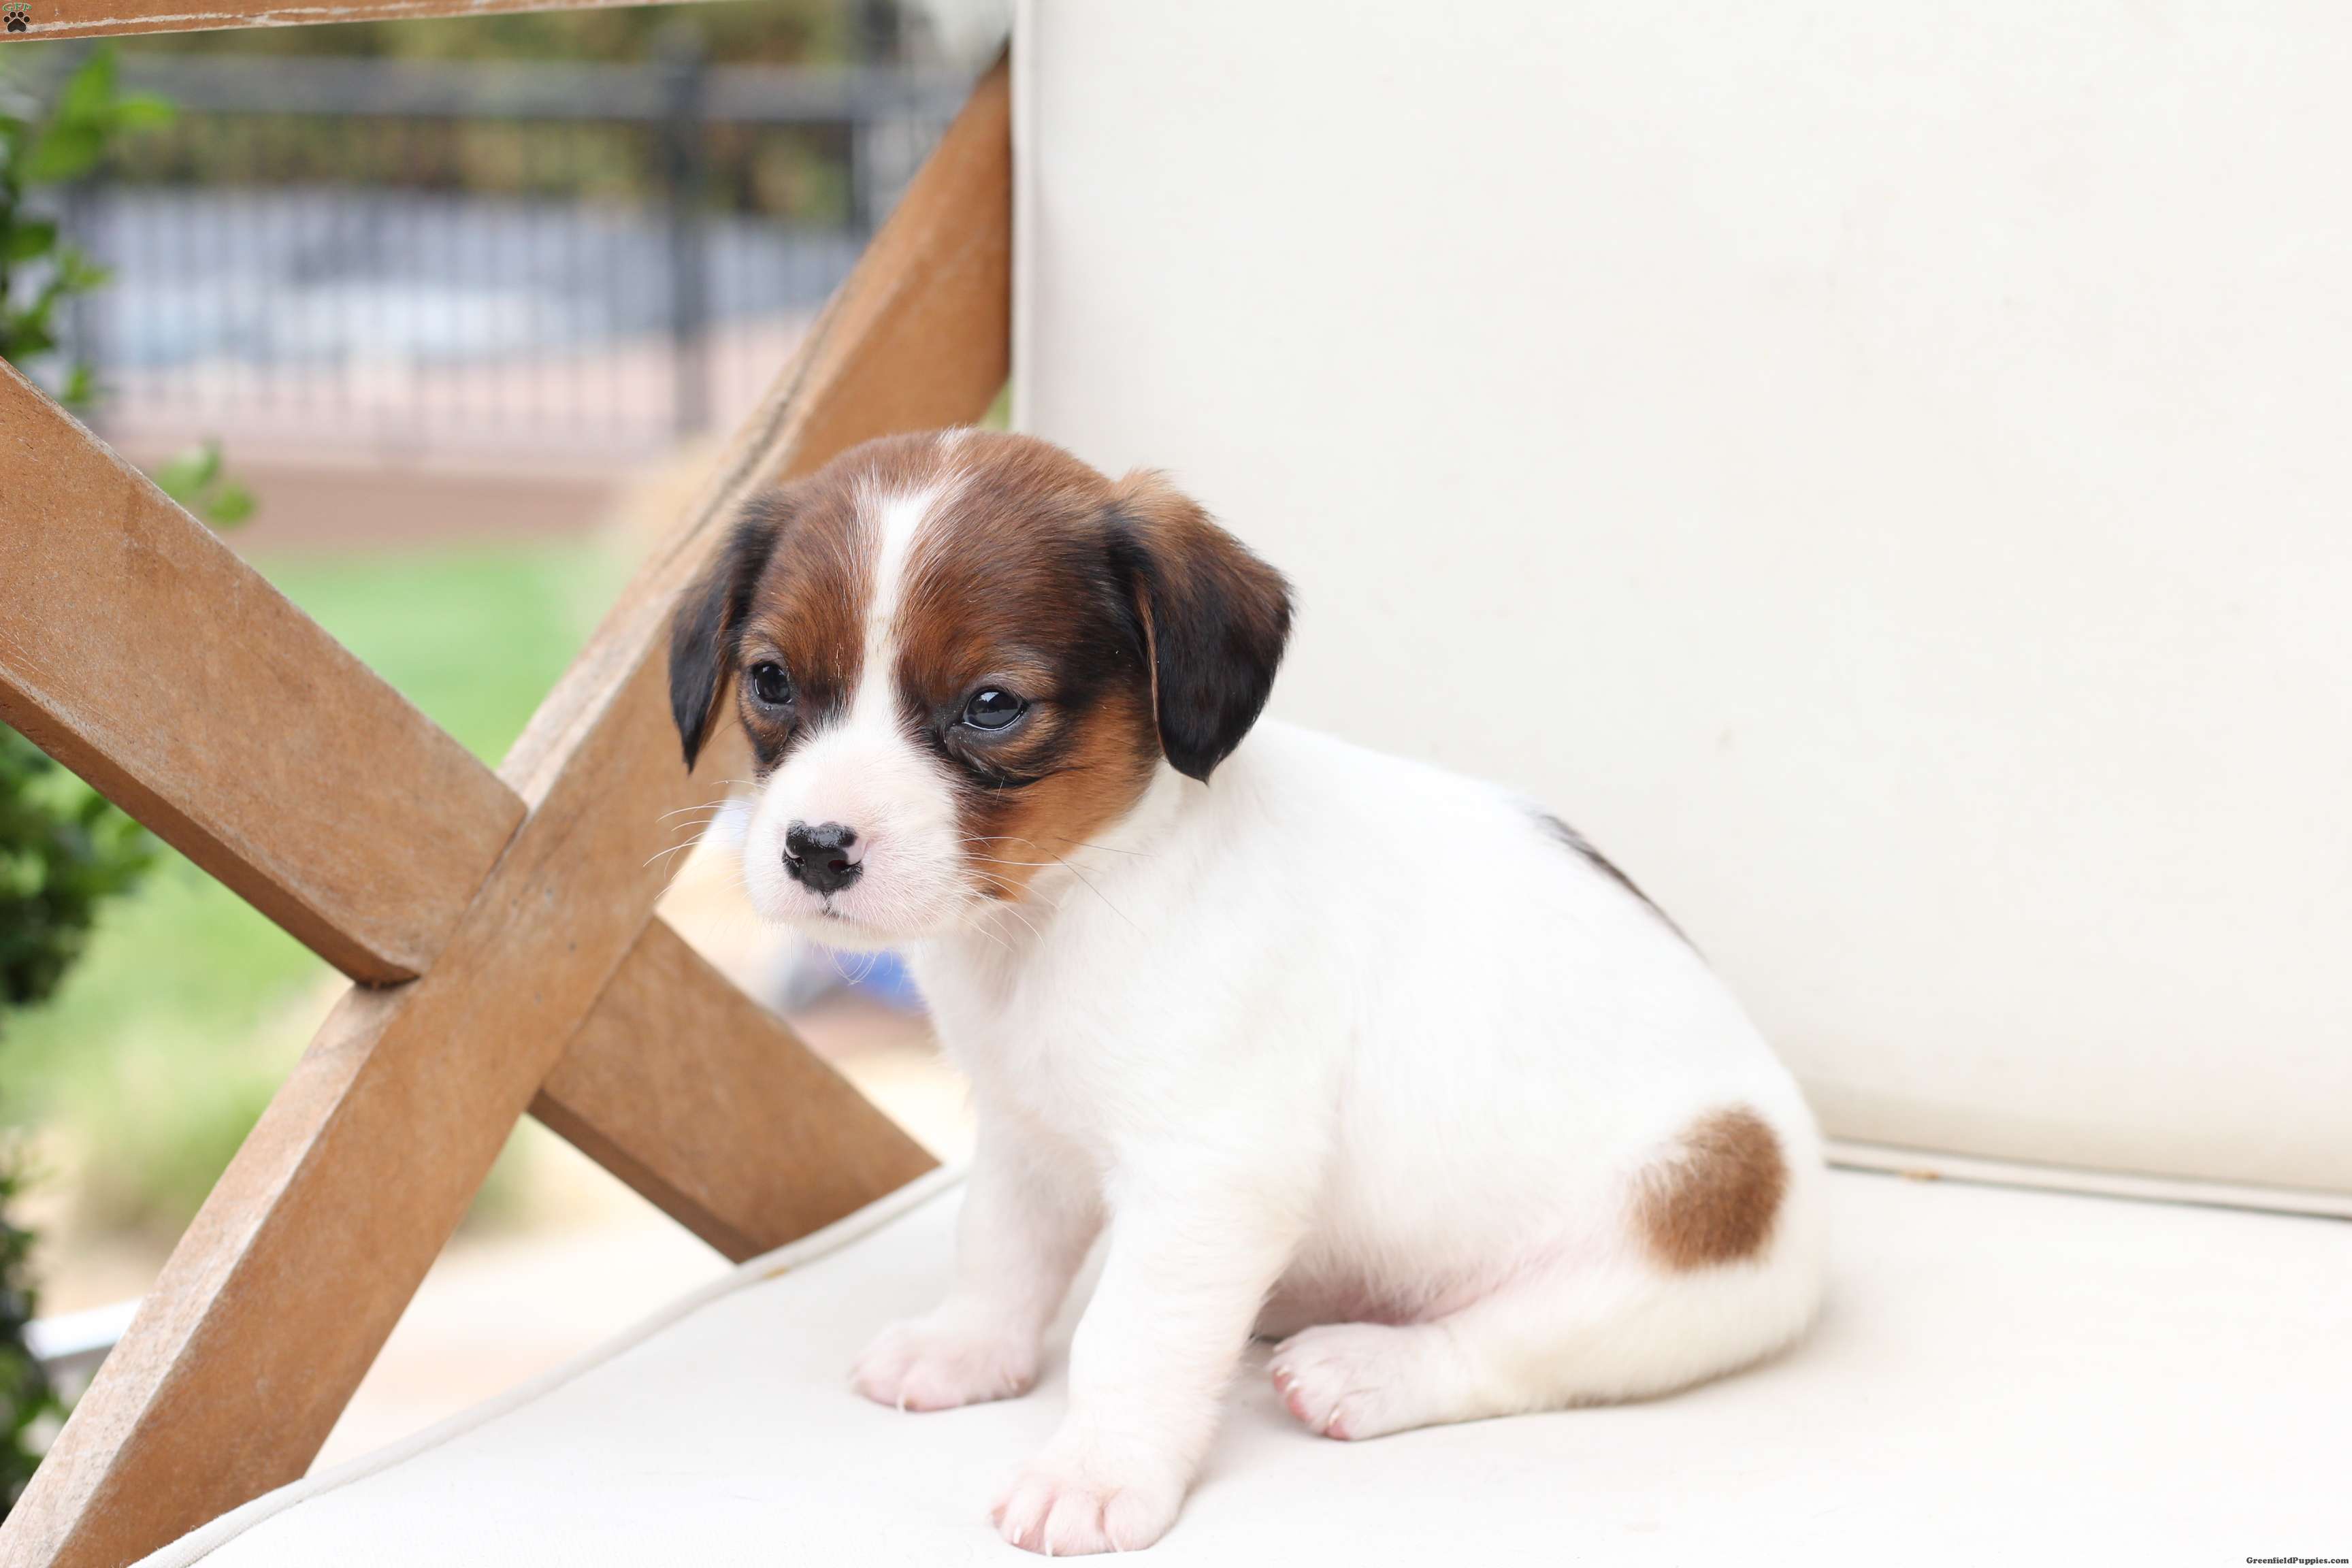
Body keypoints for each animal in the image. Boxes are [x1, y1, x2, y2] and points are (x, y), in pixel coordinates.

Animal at [666, 429, 1826, 1556]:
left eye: (992, 705)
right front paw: (966, 1350)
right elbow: (998, 1251)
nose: (815, 849)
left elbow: (1131, 1336)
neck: (1067, 910)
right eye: (771, 681)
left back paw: (1369, 1369)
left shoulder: (1209, 1176)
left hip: (1669, 1234)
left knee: (1498, 1350)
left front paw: (1099, 1470)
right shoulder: (1028, 1138)